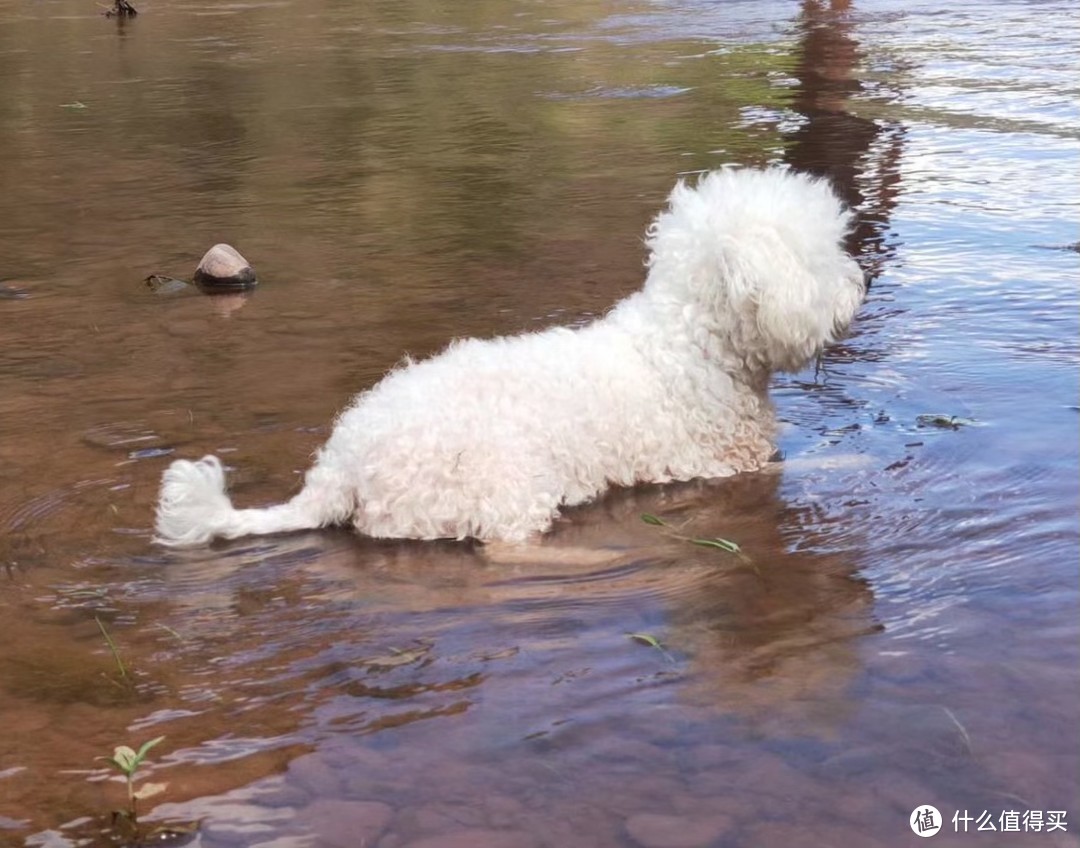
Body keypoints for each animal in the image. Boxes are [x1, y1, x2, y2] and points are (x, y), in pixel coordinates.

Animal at [156, 167, 864, 546]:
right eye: (823, 256)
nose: (861, 284)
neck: (694, 346)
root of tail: (340, 467)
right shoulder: (730, 466)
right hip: (504, 484)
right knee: (505, 542)